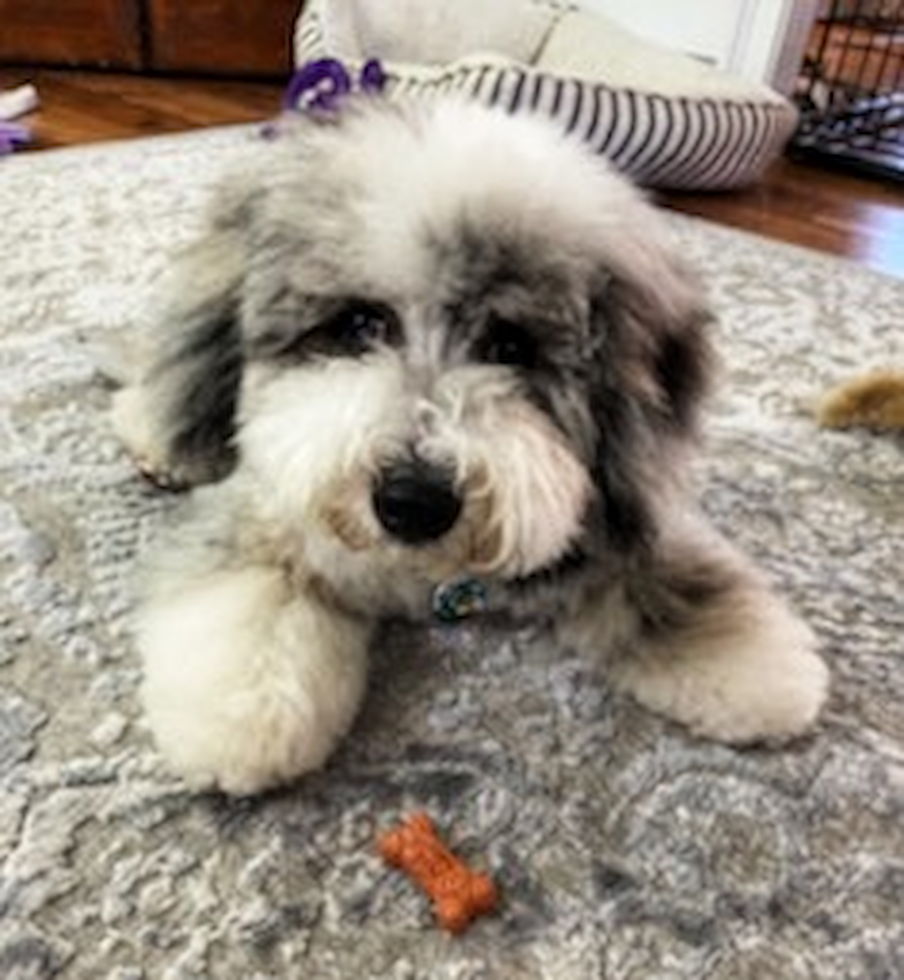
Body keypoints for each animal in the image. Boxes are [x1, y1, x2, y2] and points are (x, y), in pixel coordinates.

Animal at [116, 95, 828, 792]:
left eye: (510, 347)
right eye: (361, 324)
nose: (412, 502)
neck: (421, 576)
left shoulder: (619, 517)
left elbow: (676, 583)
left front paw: (753, 663)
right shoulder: (265, 515)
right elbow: (260, 599)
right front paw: (241, 719)